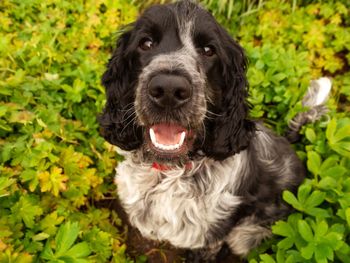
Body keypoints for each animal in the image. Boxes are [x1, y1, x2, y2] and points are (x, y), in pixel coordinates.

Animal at [99, 0, 330, 260]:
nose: (168, 89)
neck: (170, 172)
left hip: (245, 234)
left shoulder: (208, 239)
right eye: (146, 43)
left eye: (209, 50)